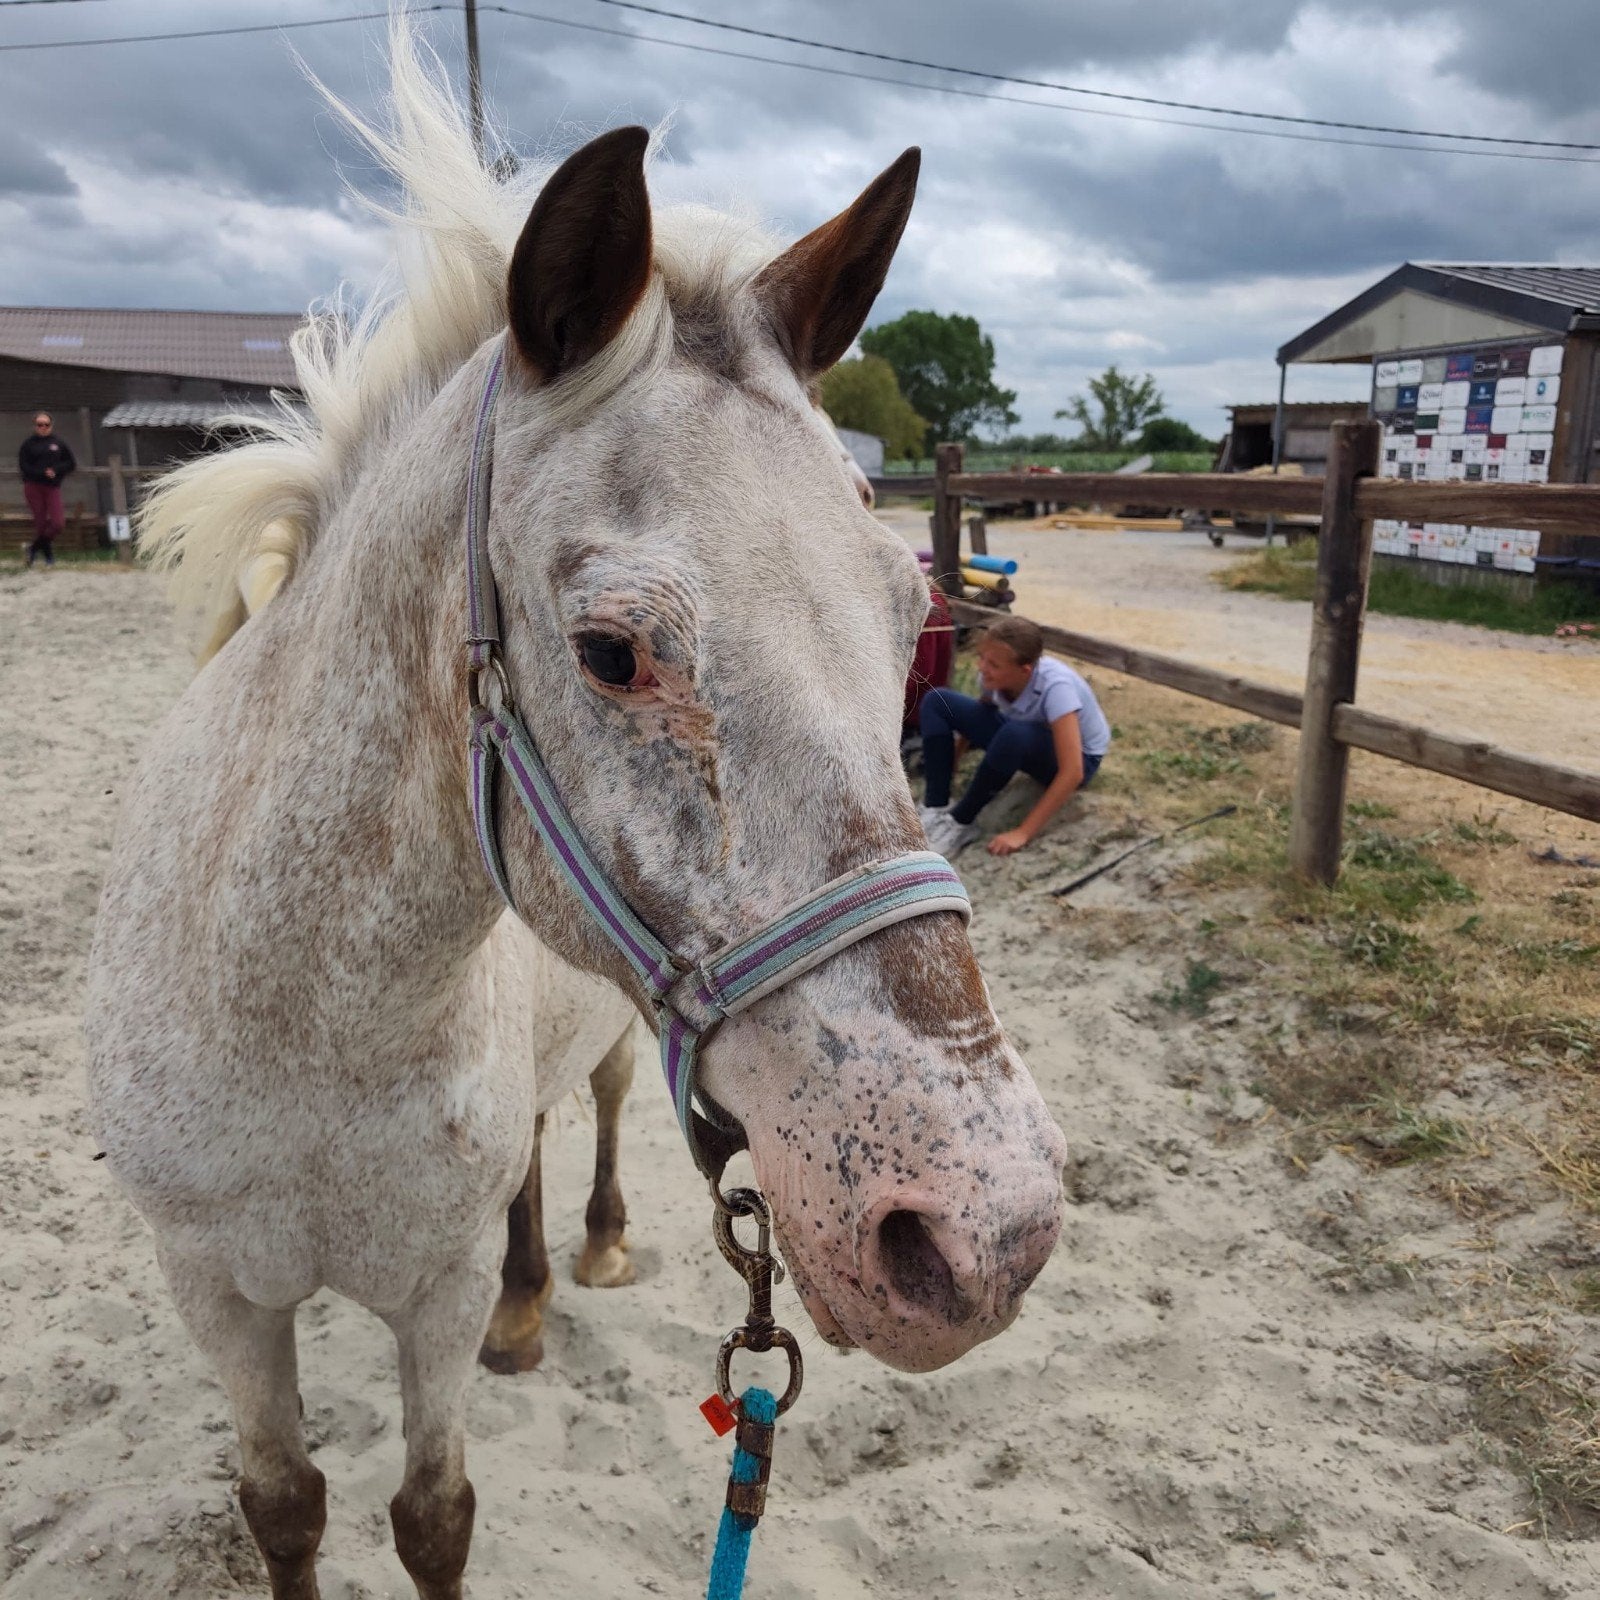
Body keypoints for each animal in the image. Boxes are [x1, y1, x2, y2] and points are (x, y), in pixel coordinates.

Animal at [84, 26, 1068, 1600]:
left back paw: (575, 1267)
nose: (985, 1229)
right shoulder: (219, 1295)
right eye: (613, 651)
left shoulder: (427, 1293)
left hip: (605, 1050)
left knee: (589, 1118)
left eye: (905, 609)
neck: (296, 1016)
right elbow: (284, 1505)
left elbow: (432, 1513)